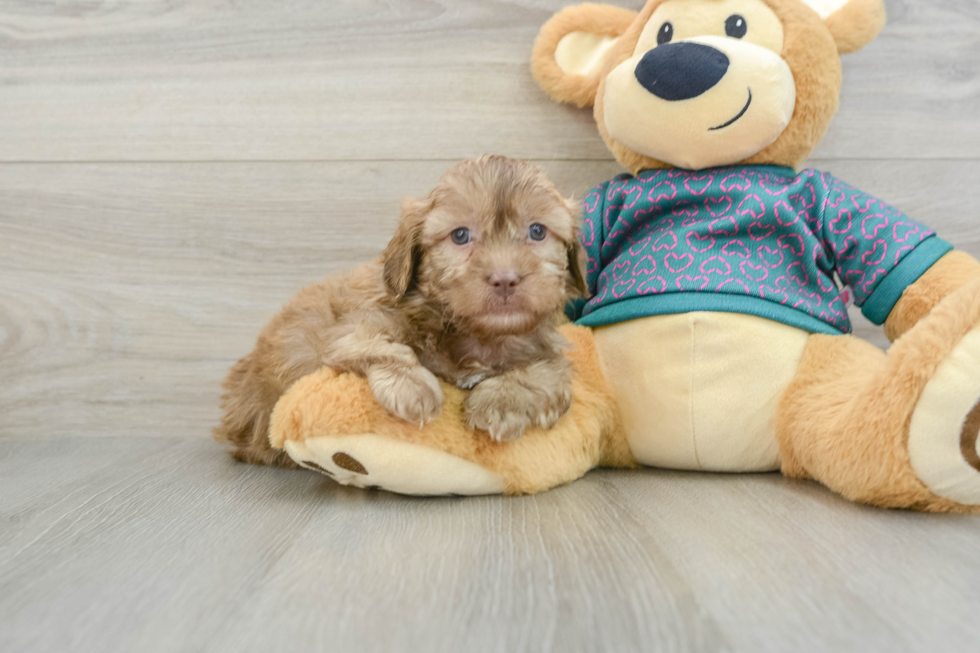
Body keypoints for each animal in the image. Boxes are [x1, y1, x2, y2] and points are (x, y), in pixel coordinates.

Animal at [217, 155, 584, 466]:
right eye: (460, 236)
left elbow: (549, 370)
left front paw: (502, 403)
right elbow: (380, 346)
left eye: (537, 231)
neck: (475, 333)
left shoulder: (543, 348)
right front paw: (414, 387)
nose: (505, 278)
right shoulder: (354, 327)